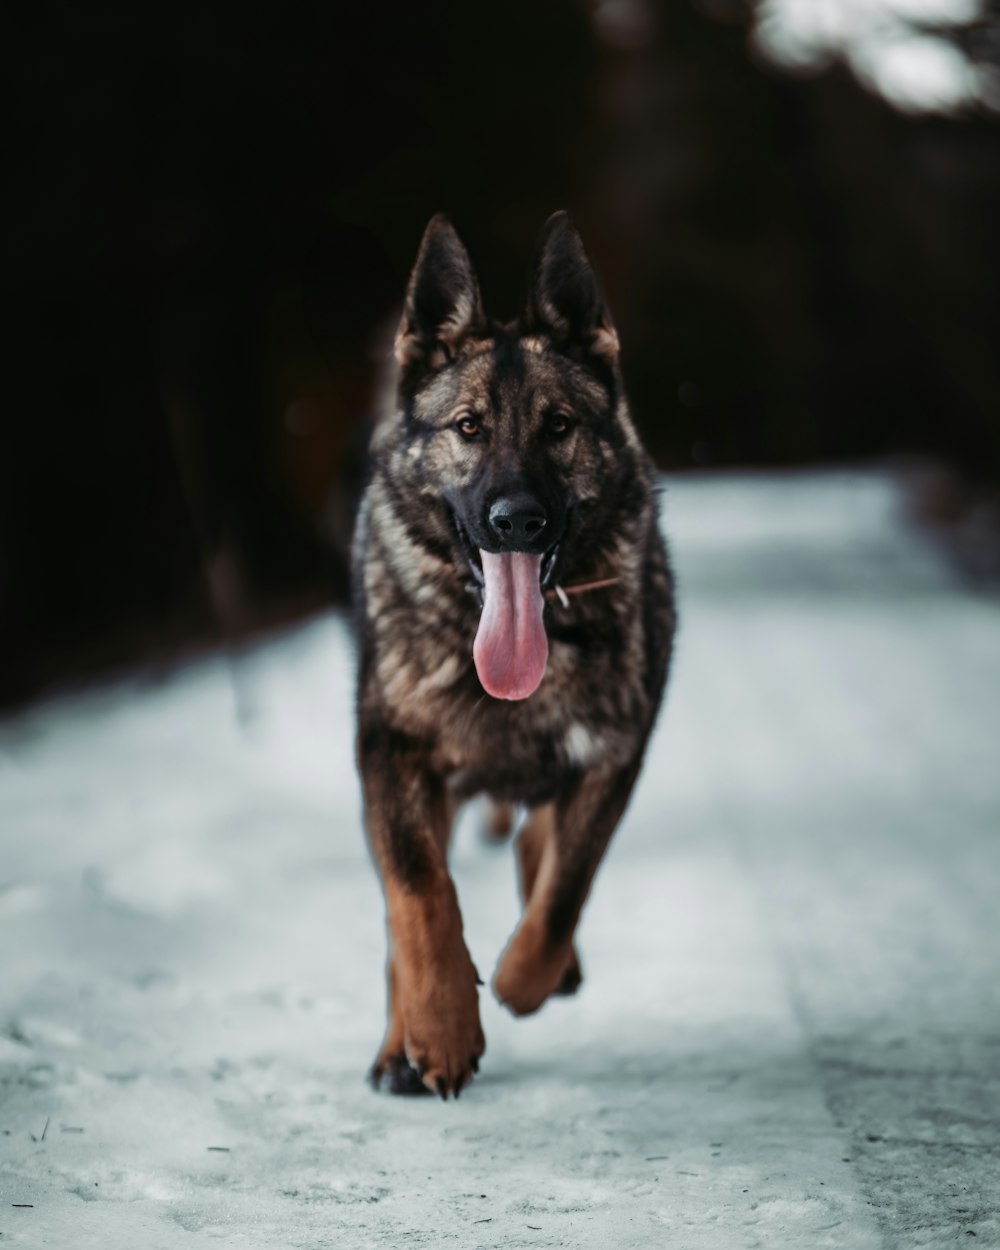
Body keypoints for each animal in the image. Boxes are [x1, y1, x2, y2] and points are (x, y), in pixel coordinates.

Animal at [352, 212, 680, 1095]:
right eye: (468, 427)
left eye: (559, 426)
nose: (516, 521)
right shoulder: (391, 752)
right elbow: (418, 892)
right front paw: (438, 1027)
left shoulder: (613, 757)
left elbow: (565, 890)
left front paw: (521, 979)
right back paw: (398, 1048)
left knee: (543, 849)